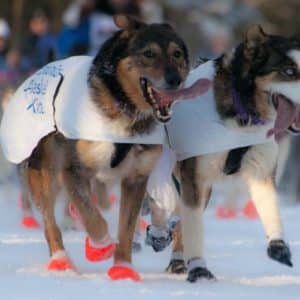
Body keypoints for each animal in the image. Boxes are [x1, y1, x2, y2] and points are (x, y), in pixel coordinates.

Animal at [18, 14, 189, 278]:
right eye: (149, 53)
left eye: (177, 53)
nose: (175, 79)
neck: (126, 109)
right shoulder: (73, 169)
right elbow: (92, 216)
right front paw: (101, 246)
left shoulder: (136, 177)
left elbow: (126, 228)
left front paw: (123, 268)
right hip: (45, 172)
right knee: (50, 222)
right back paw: (60, 260)